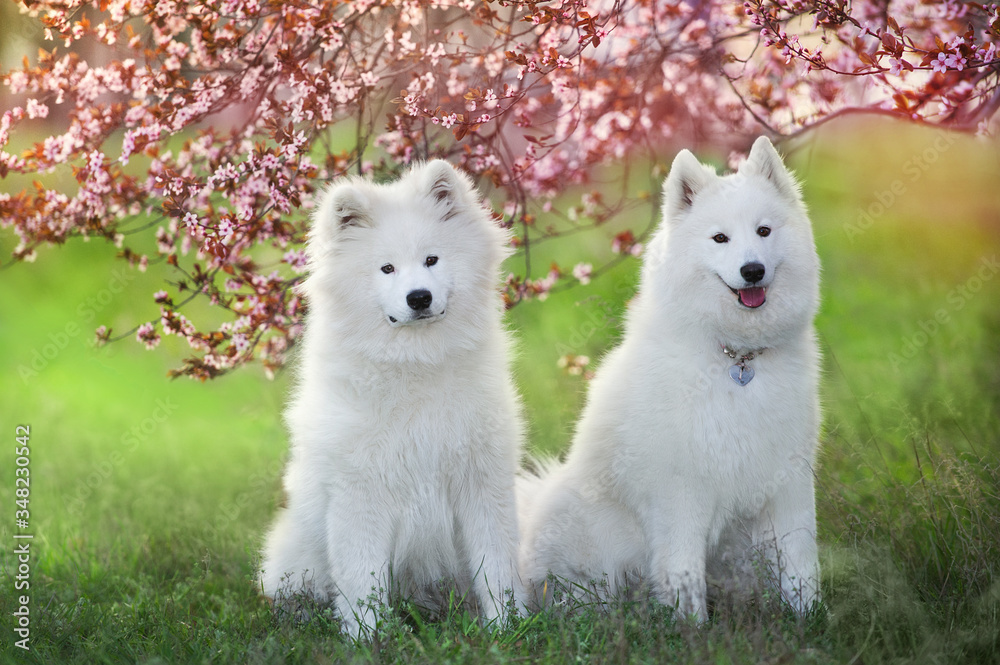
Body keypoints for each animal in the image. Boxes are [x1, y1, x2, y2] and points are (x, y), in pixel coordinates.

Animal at [262, 158, 528, 636]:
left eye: (431, 259)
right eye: (386, 269)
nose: (419, 297)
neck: (415, 363)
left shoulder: (482, 481)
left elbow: (496, 565)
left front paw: (506, 626)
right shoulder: (360, 493)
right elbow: (361, 579)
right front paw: (369, 637)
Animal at [516, 137, 820, 620]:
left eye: (764, 231)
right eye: (720, 238)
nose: (752, 270)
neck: (736, 359)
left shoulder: (788, 480)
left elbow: (802, 566)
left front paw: (810, 621)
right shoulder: (682, 492)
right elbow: (683, 572)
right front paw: (693, 629)